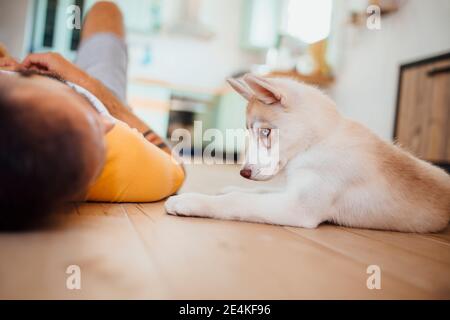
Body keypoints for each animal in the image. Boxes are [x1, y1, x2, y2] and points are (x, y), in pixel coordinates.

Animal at [165, 73, 450, 231]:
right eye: (248, 132)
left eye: (265, 132)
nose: (243, 173)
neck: (318, 142)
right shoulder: (290, 189)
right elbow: (257, 192)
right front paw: (229, 188)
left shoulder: (298, 206)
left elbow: (238, 202)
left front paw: (191, 201)